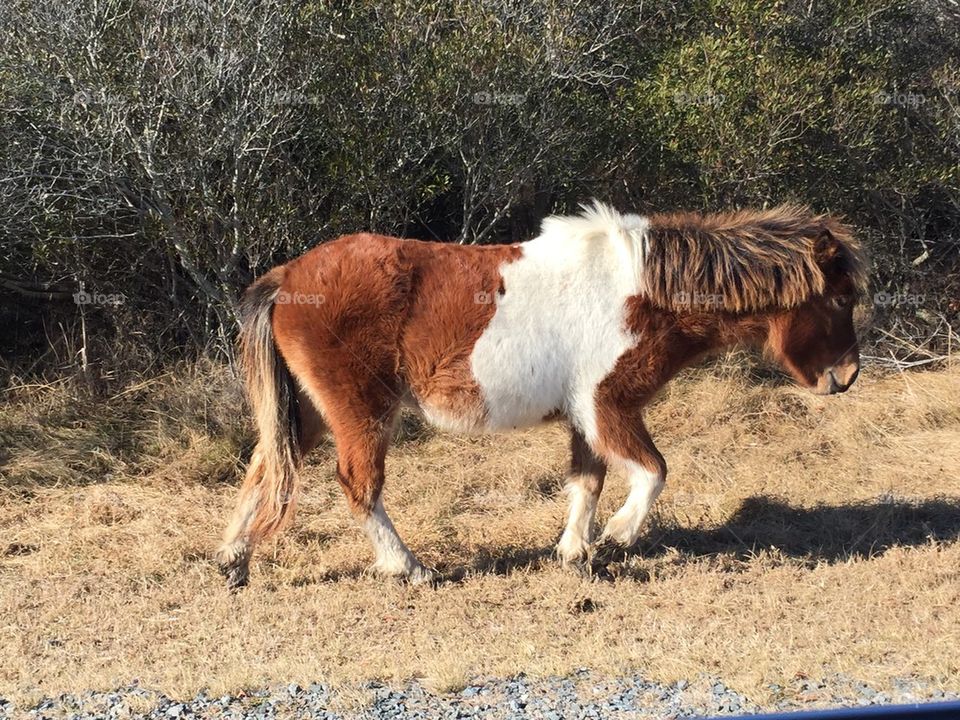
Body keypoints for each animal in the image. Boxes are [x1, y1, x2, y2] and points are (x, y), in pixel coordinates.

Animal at [218, 201, 872, 584]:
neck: (641, 291)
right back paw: (408, 568)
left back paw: (233, 561)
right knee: (357, 485)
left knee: (265, 468)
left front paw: (575, 552)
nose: (846, 377)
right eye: (841, 298)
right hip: (361, 410)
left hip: (310, 412)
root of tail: (288, 276)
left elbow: (587, 480)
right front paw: (616, 538)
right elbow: (654, 472)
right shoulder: (610, 405)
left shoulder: (586, 417)